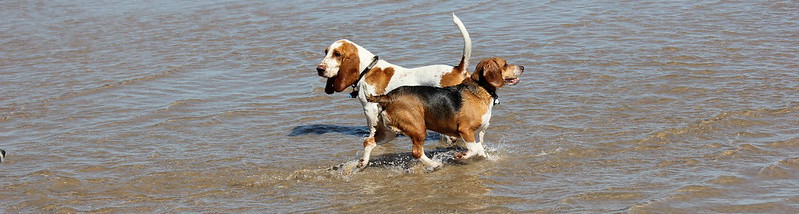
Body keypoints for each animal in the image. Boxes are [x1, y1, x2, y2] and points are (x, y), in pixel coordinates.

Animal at [316, 13, 472, 169]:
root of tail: (458, 69)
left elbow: (372, 131)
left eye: (337, 54)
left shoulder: (370, 110)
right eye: (326, 52)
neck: (368, 69)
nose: (319, 69)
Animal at [364, 58, 520, 169]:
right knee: (417, 153)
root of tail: (388, 97)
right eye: (505, 65)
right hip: (418, 129)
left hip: (389, 132)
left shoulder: (475, 134)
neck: (481, 88)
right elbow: (473, 150)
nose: (522, 67)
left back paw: (362, 163)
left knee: (368, 142)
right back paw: (435, 164)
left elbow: (480, 150)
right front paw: (461, 156)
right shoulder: (465, 130)